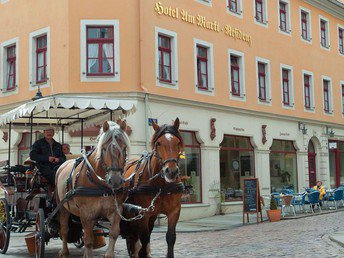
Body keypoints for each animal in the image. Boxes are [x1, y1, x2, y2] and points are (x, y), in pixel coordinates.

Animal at [55, 121, 130, 258]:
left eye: (124, 148)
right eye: (104, 148)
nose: (115, 180)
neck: (100, 185)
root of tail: (63, 165)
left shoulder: (115, 210)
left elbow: (114, 233)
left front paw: (108, 254)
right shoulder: (86, 213)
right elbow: (88, 240)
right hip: (62, 207)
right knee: (64, 230)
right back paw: (64, 252)